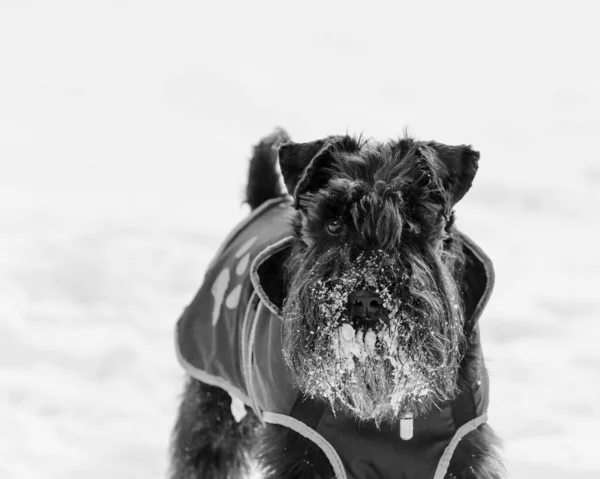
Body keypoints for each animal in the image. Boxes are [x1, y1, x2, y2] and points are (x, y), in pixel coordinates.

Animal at [170, 129, 506, 478]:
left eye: (412, 222)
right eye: (334, 224)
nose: (366, 299)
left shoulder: (460, 452)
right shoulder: (303, 453)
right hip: (214, 398)